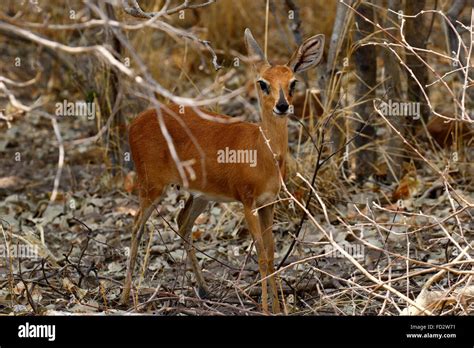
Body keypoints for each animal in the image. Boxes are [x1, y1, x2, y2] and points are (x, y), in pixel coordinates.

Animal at [120, 29, 324, 312]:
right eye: (263, 83)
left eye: (292, 82)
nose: (282, 106)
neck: (262, 153)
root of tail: (134, 123)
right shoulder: (247, 201)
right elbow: (261, 256)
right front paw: (264, 309)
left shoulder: (268, 202)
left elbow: (272, 254)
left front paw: (278, 308)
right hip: (152, 185)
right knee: (136, 225)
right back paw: (124, 296)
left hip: (201, 194)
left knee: (182, 221)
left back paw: (204, 289)